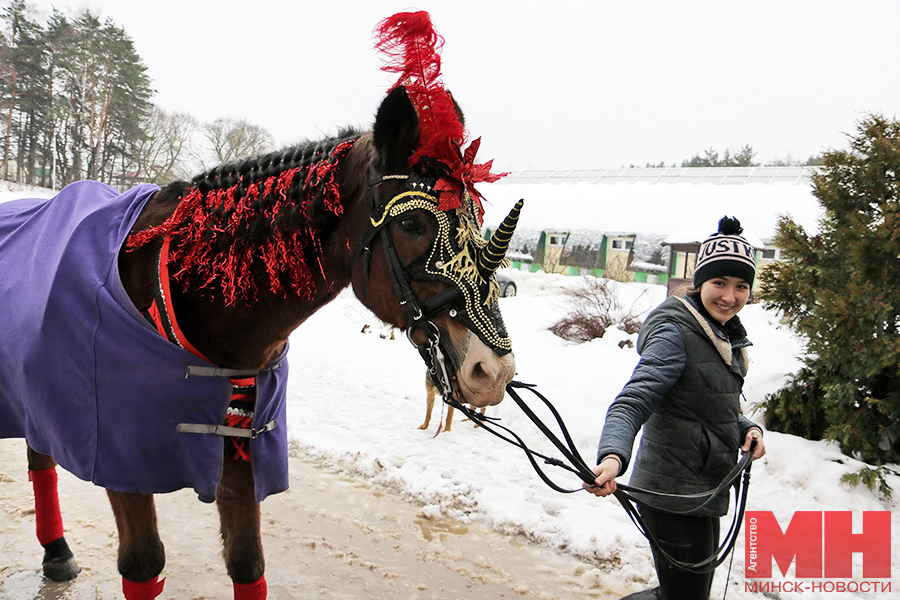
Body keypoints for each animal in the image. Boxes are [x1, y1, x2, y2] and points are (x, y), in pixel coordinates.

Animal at [0, 11, 520, 596]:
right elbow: (143, 564)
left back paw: (56, 551)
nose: (493, 370)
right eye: (410, 223)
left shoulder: (242, 449)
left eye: (477, 219)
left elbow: (248, 562)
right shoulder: (122, 457)